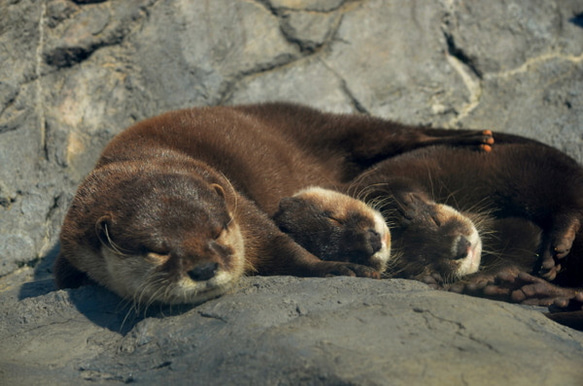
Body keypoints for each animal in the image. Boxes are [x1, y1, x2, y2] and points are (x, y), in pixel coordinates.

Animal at [54, 102, 496, 304]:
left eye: (218, 231)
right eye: (157, 251)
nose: (204, 268)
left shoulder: (237, 203)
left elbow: (281, 246)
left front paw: (338, 270)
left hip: (319, 121)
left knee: (396, 132)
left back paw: (476, 136)